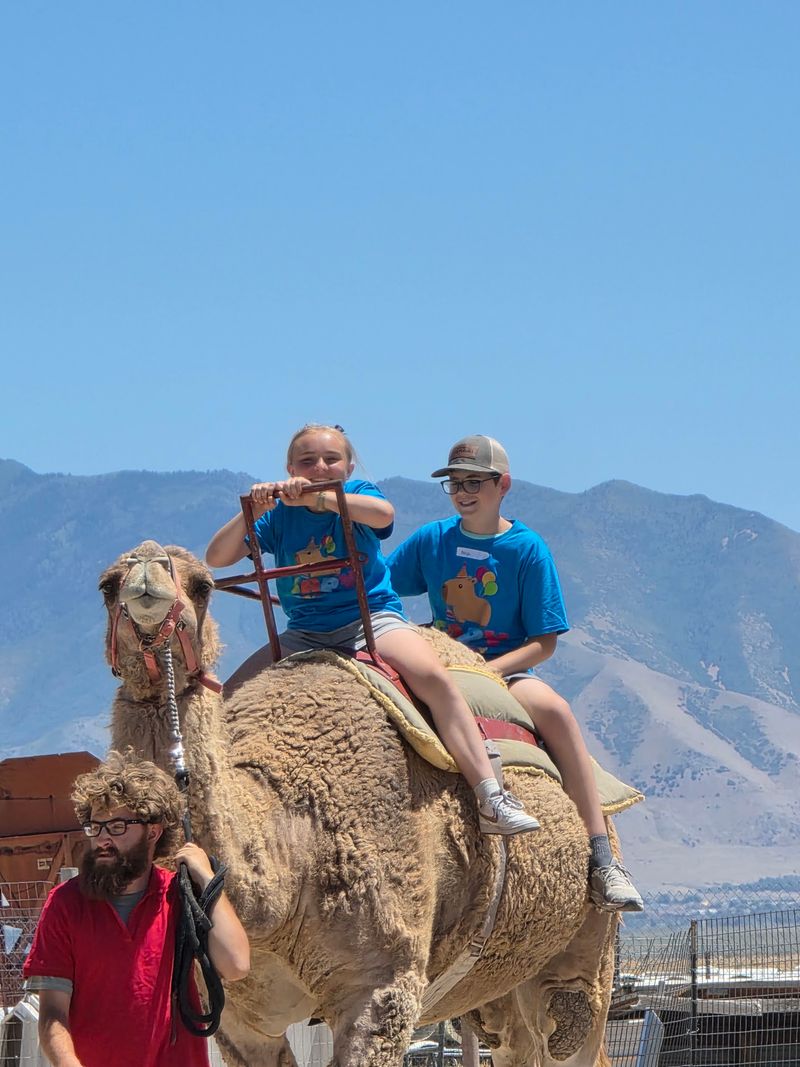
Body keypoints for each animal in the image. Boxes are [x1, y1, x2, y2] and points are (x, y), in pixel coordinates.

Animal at [100, 540, 620, 1067]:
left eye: (203, 586)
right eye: (106, 585)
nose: (145, 569)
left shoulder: (381, 983)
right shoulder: (233, 1014)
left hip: (583, 955)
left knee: (570, 1021)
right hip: (495, 984)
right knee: (514, 1038)